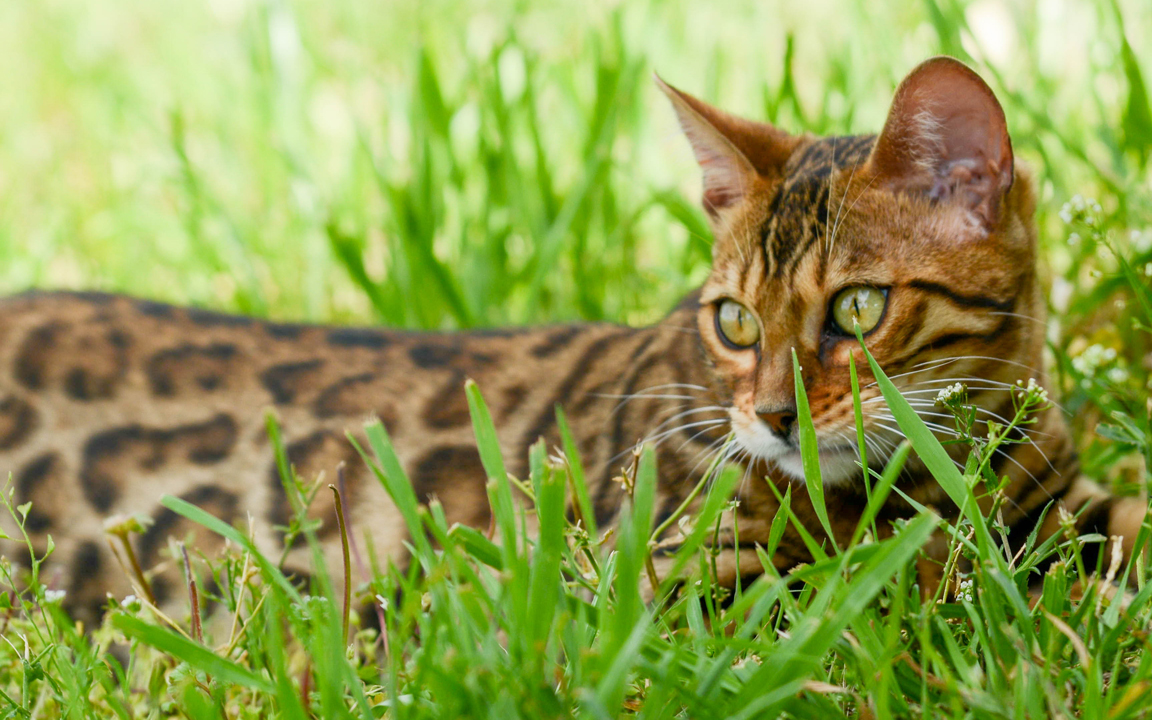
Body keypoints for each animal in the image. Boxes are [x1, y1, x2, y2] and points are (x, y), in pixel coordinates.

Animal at [0, 59, 1138, 626]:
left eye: (857, 310)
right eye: (734, 322)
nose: (773, 420)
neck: (948, 469)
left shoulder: (1064, 507)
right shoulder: (669, 585)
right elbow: (875, 590)